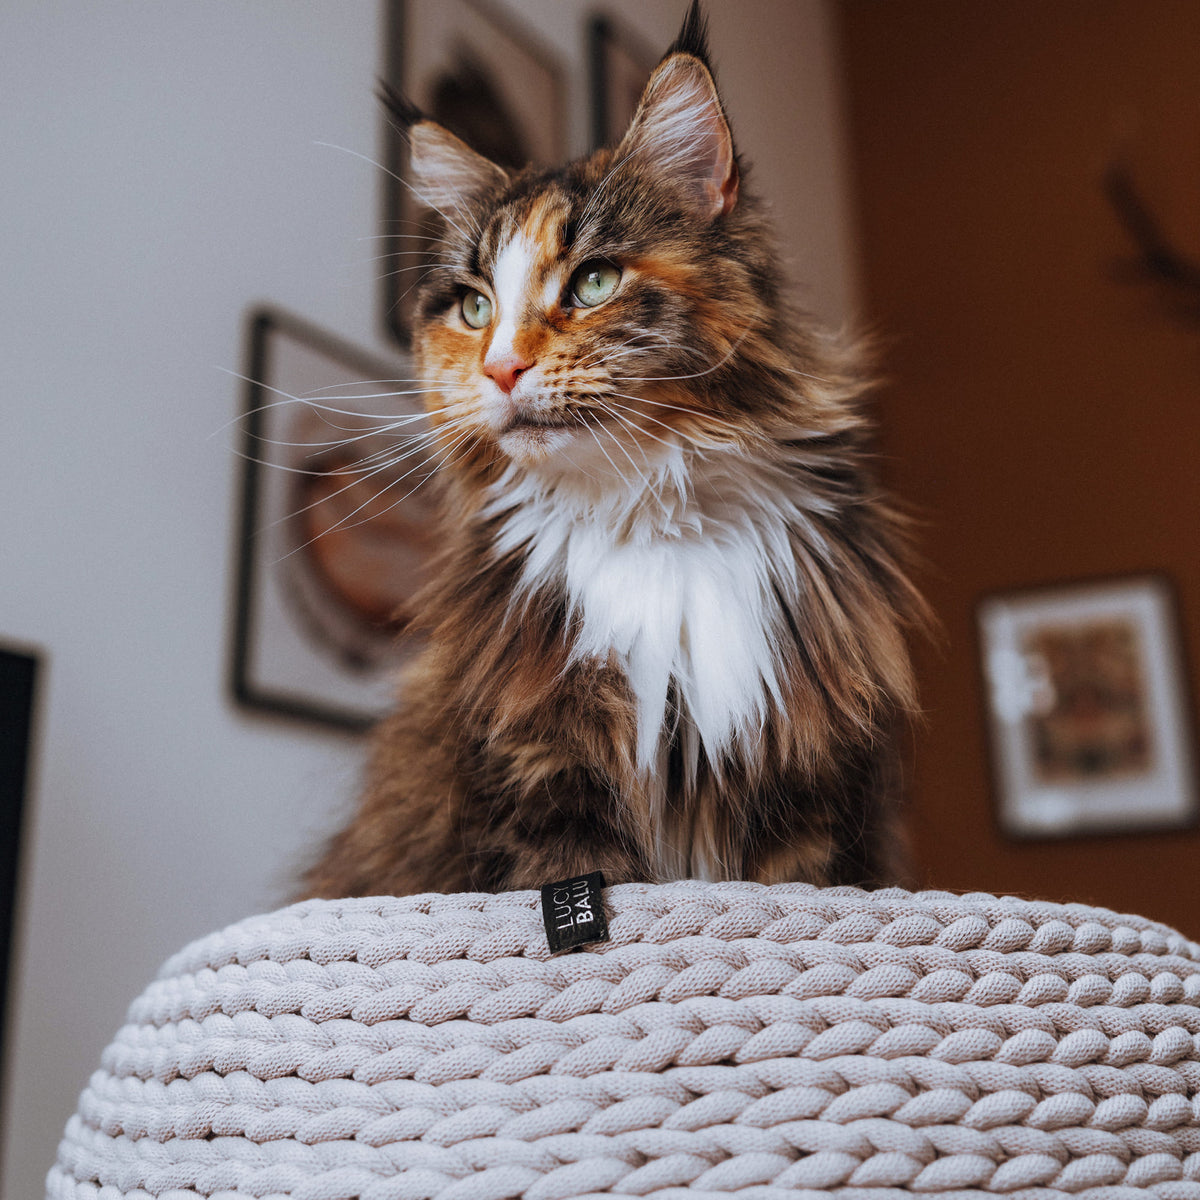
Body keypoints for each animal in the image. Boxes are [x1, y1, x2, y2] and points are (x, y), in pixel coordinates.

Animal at [304, 2, 921, 902]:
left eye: (594, 282)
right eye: (474, 307)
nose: (500, 368)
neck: (652, 519)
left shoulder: (809, 792)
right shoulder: (542, 782)